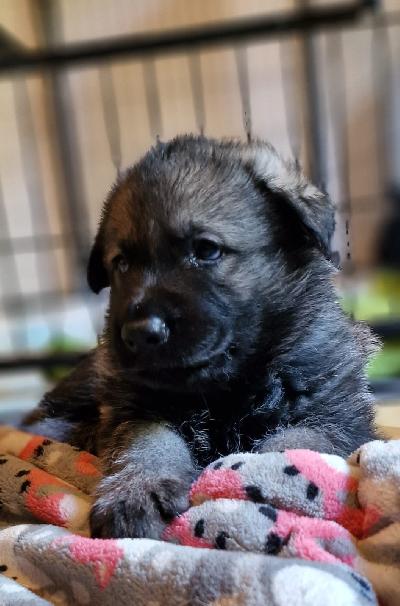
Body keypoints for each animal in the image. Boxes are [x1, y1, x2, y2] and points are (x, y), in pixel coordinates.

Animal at [23, 135, 378, 539]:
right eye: (122, 264)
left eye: (206, 249)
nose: (140, 332)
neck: (225, 387)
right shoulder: (136, 409)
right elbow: (149, 442)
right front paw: (137, 489)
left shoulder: (331, 415)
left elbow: (295, 442)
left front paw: (272, 476)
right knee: (40, 418)